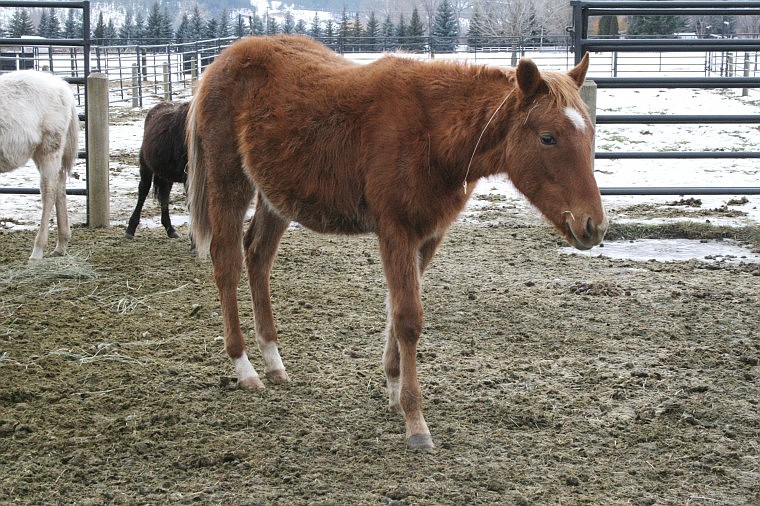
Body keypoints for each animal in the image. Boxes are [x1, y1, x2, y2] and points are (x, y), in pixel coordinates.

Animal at [0, 70, 79, 260]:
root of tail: (62, 86)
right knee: (59, 185)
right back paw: (61, 245)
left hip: (48, 149)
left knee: (49, 191)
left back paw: (37, 251)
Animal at [187, 33, 608, 448]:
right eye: (548, 138)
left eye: (590, 131)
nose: (594, 226)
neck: (433, 131)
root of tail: (221, 61)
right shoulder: (396, 232)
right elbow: (407, 319)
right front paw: (415, 422)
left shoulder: (427, 237)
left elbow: (396, 309)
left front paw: (392, 389)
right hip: (228, 181)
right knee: (227, 263)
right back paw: (245, 367)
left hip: (276, 196)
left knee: (258, 257)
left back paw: (274, 362)